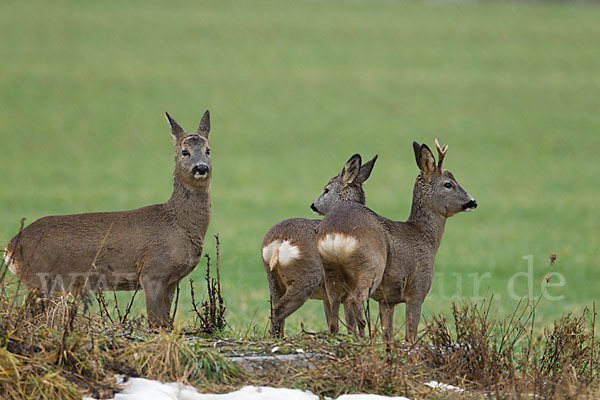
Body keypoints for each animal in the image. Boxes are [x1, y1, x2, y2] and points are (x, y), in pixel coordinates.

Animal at [1, 111, 213, 326]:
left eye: (208, 150)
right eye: (185, 151)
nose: (201, 168)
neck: (178, 223)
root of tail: (10, 249)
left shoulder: (172, 280)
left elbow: (166, 322)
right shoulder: (152, 271)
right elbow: (154, 323)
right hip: (41, 279)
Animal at [262, 153, 376, 338]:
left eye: (326, 190)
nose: (313, 205)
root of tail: (279, 242)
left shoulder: (327, 295)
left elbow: (332, 321)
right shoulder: (348, 288)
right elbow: (350, 323)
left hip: (272, 278)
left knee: (275, 310)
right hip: (305, 278)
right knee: (279, 310)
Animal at [316, 140, 476, 340]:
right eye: (449, 184)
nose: (473, 202)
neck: (425, 237)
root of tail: (335, 234)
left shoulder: (387, 300)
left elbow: (388, 334)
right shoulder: (417, 289)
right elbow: (410, 334)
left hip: (330, 270)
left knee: (333, 301)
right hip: (370, 266)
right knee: (356, 298)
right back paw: (363, 336)